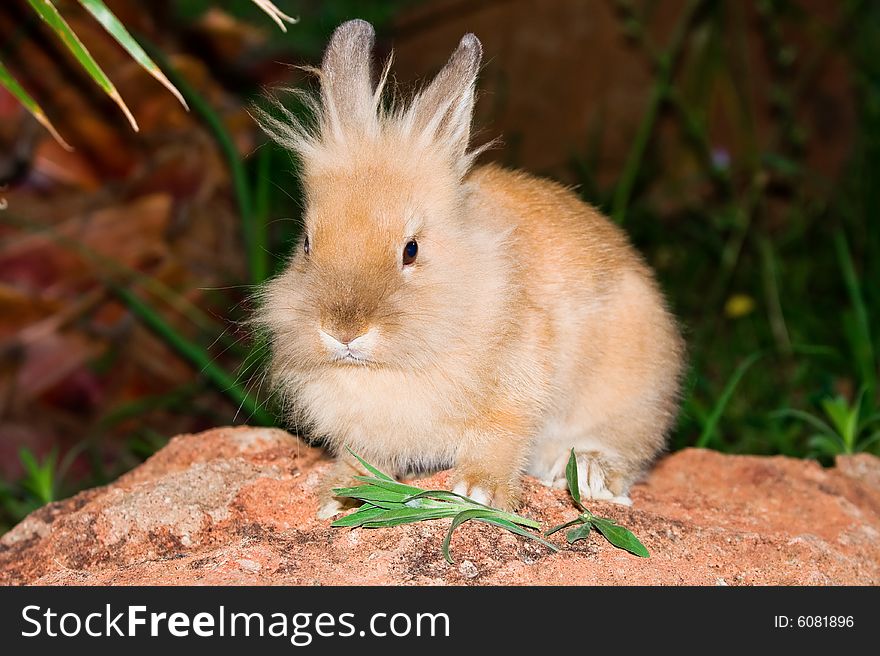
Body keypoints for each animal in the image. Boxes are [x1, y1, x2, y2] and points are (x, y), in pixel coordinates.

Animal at [254, 19, 688, 516]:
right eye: (307, 244)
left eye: (410, 250)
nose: (343, 333)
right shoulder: (363, 433)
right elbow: (362, 458)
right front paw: (343, 498)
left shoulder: (515, 390)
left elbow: (499, 439)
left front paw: (478, 491)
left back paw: (589, 474)